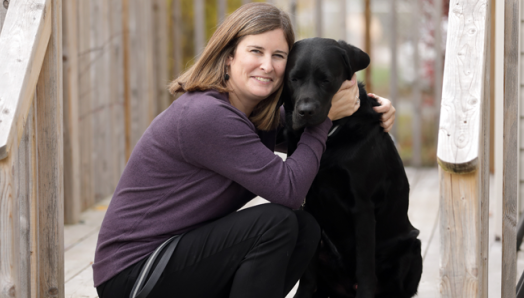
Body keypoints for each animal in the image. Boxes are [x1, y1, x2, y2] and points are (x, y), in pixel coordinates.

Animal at [282, 38, 422, 296]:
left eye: (326, 79)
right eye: (294, 78)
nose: (305, 111)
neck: (330, 140)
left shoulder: (362, 206)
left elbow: (365, 267)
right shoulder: (307, 202)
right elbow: (308, 272)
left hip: (411, 246)